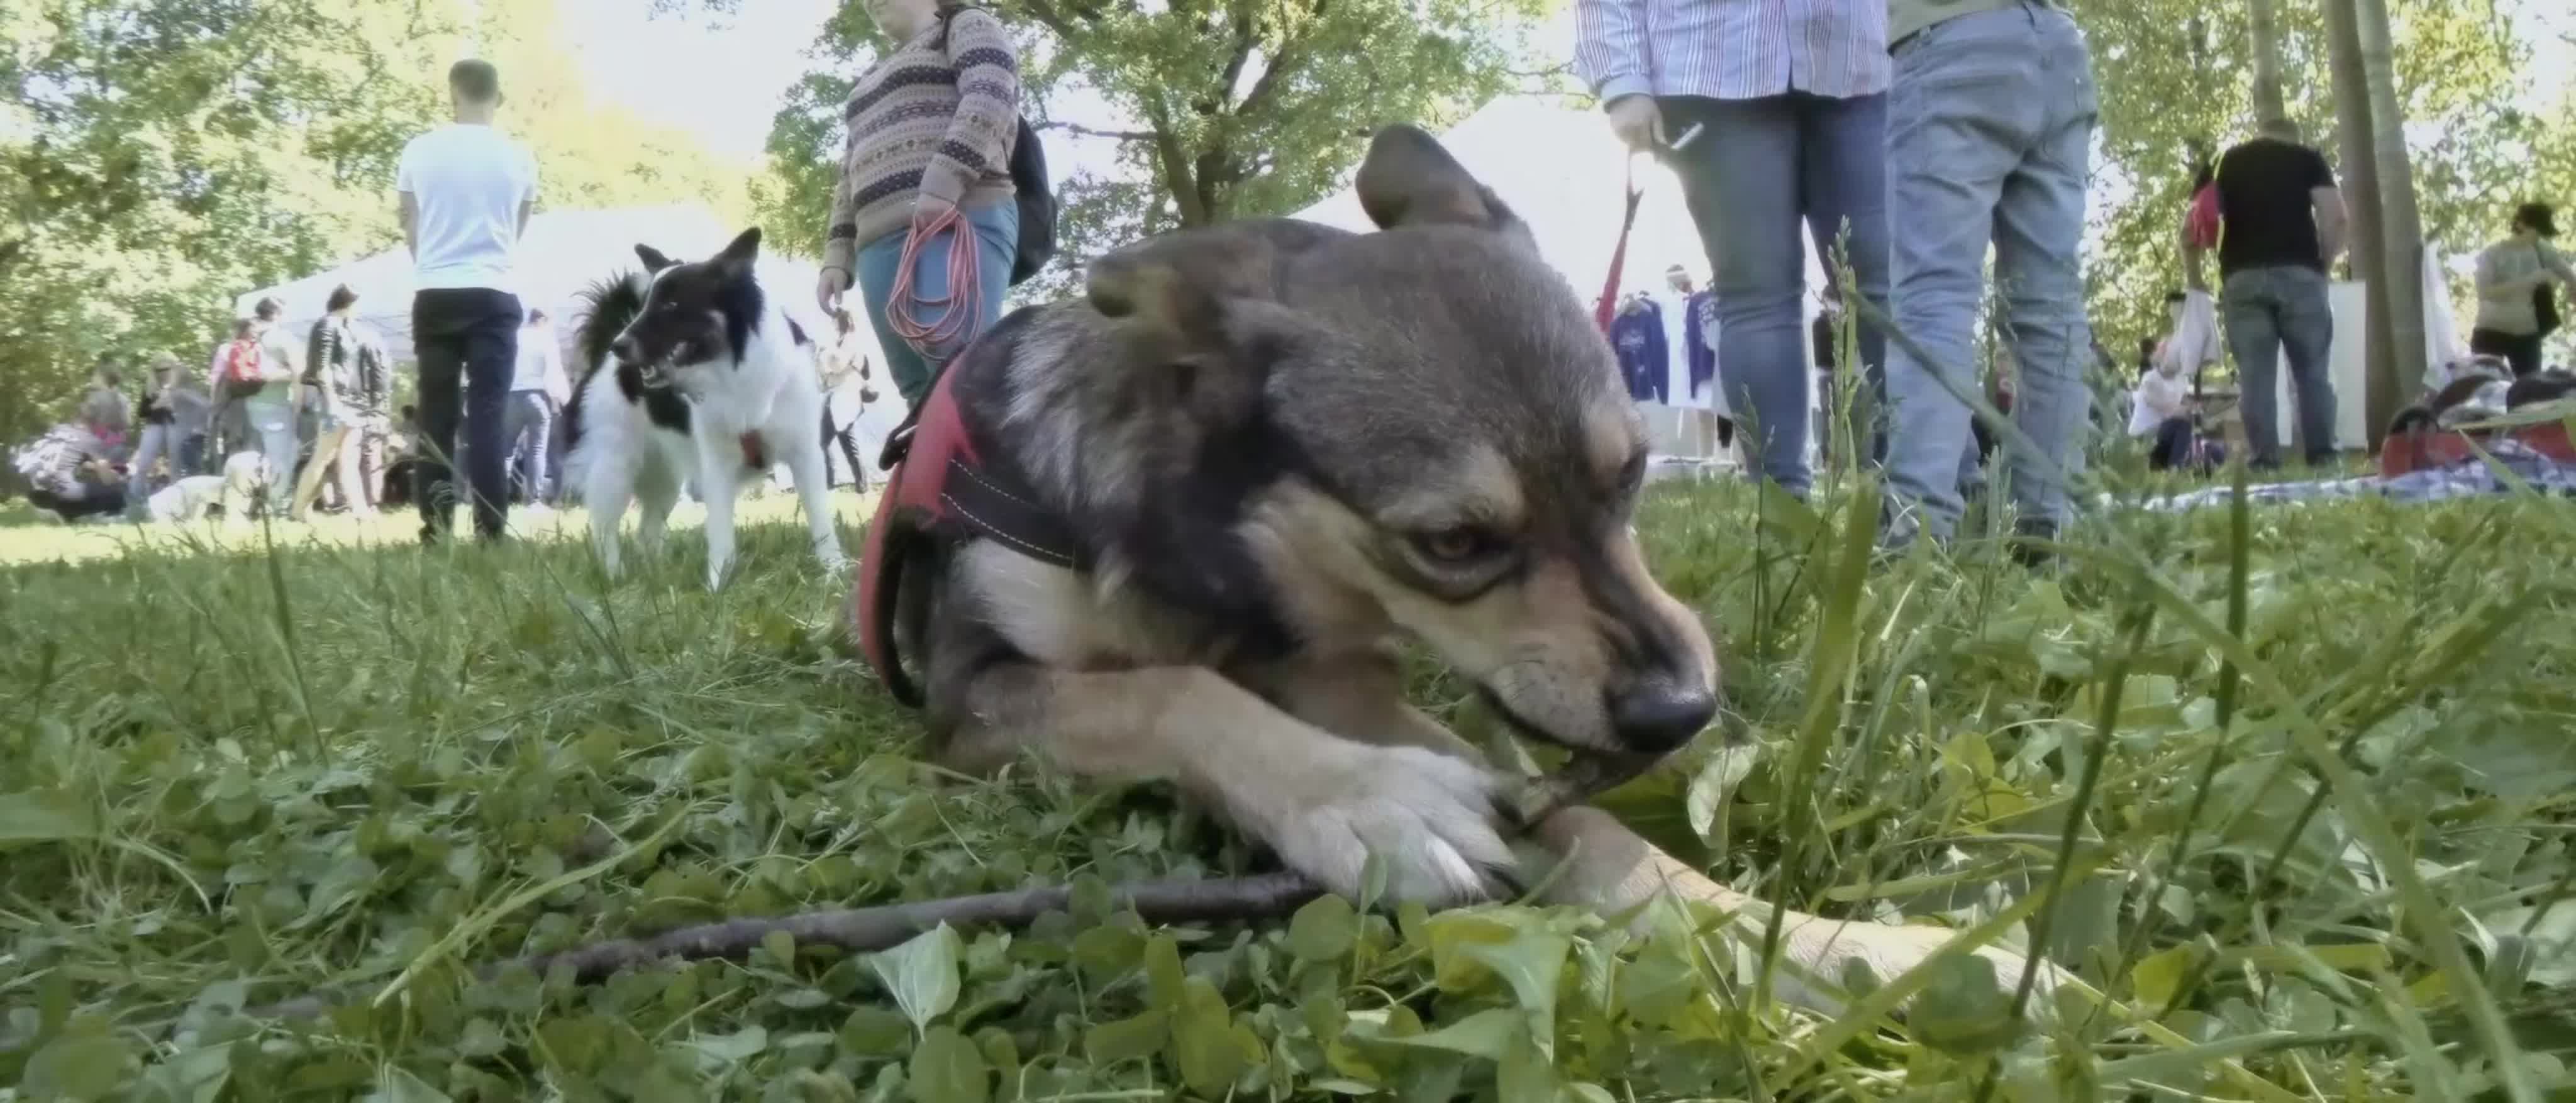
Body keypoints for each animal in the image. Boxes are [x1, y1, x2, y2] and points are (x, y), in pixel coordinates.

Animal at [564, 224, 845, 585]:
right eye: (645, 305)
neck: (734, 371)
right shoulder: (717, 465)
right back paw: (615, 577)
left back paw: (656, 574)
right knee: (604, 530)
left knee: (647, 530)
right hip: (614, 466)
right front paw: (718, 584)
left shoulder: (806, 455)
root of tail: (602, 356)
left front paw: (834, 571)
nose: (620, 346)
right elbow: (721, 533)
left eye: (671, 304)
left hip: (662, 475)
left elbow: (822, 522)